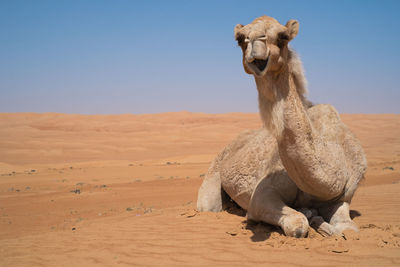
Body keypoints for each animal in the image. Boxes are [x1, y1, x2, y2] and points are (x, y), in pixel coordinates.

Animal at [195, 15, 368, 239]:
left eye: (283, 36)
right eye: (240, 38)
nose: (254, 42)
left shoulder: (344, 196)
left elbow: (349, 228)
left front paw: (323, 222)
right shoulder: (262, 194)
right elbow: (297, 224)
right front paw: (310, 217)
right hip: (214, 173)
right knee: (208, 205)